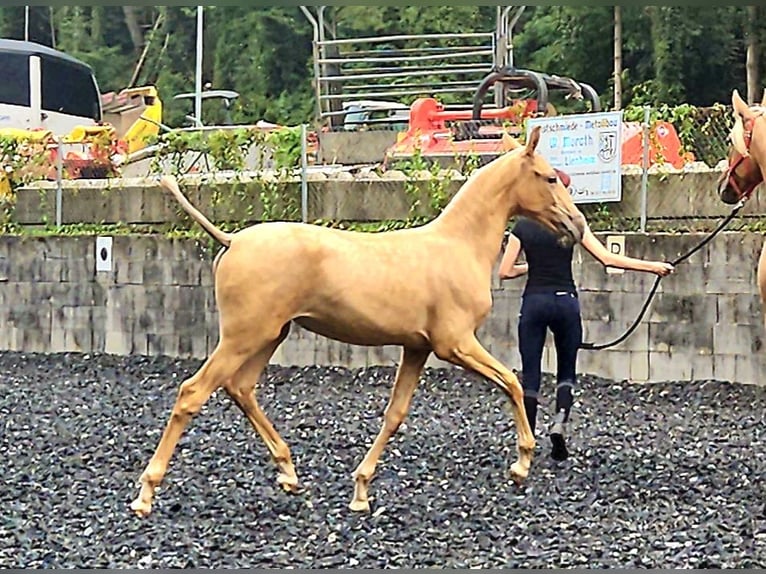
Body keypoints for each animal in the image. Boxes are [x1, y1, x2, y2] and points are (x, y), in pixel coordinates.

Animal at [132, 129, 588, 516]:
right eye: (550, 177)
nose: (577, 225)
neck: (457, 245)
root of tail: (232, 239)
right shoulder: (455, 343)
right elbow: (511, 383)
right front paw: (521, 464)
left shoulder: (417, 347)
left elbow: (395, 413)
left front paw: (360, 491)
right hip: (243, 337)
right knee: (193, 393)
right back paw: (146, 494)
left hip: (269, 336)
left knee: (240, 388)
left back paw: (289, 474)